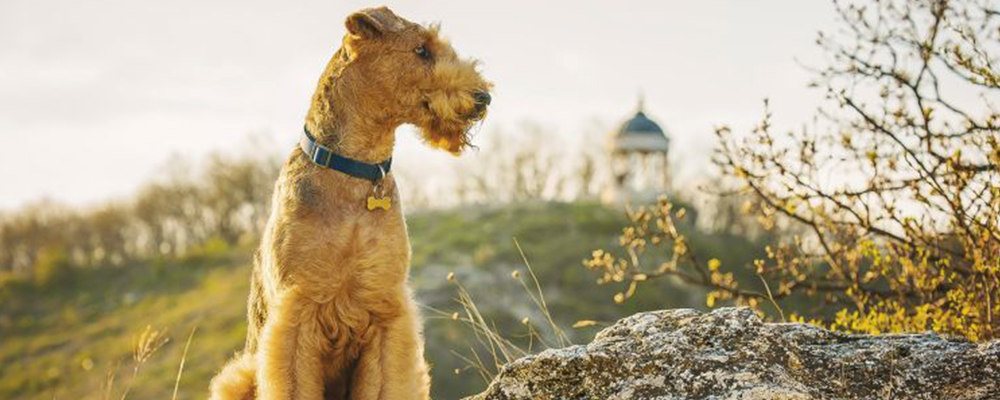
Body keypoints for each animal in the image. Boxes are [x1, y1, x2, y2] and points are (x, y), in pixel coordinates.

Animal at [210, 7, 492, 400]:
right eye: (421, 49)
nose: (483, 97)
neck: (356, 174)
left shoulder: (385, 311)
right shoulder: (297, 313)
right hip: (237, 374)